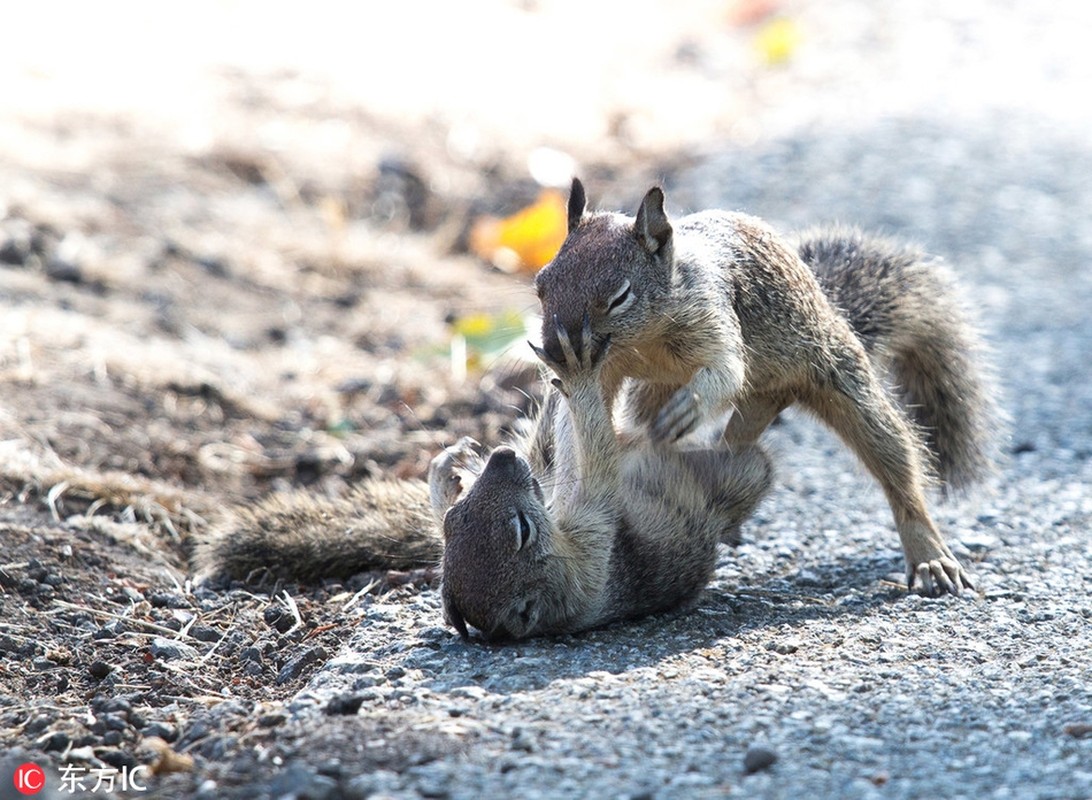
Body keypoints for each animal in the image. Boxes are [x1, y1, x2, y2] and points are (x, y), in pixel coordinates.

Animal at [532, 177, 1000, 598]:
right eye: (540, 284)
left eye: (619, 297)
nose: (555, 349)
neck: (644, 339)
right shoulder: (604, 371)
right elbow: (576, 423)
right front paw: (570, 488)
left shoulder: (713, 313)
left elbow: (726, 370)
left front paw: (690, 407)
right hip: (667, 397)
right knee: (716, 443)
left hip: (841, 379)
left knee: (896, 466)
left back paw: (929, 557)